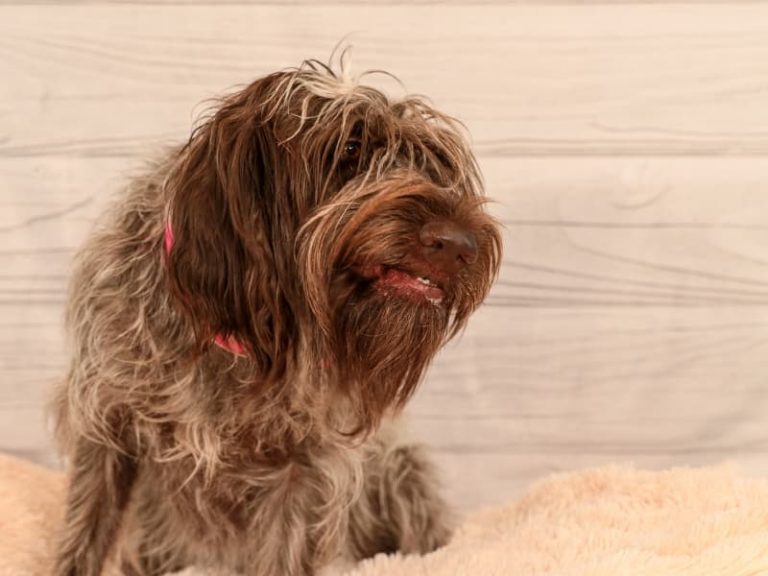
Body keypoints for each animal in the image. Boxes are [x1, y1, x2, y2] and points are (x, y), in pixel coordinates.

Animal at [51, 59, 500, 576]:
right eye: (350, 148)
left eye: (437, 166)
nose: (462, 244)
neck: (241, 338)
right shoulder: (106, 422)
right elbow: (84, 532)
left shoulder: (302, 469)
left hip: (405, 472)